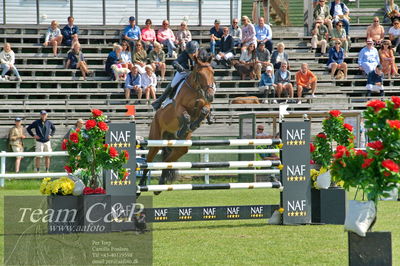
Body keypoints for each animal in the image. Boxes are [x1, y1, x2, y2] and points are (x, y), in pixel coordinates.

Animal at [140, 48, 217, 189]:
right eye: (199, 74)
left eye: (213, 73)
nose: (210, 96)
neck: (196, 90)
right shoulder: (178, 108)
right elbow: (186, 116)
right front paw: (187, 126)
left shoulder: (204, 104)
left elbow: (204, 110)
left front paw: (195, 124)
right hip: (155, 141)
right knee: (148, 162)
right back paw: (142, 183)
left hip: (181, 147)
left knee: (167, 161)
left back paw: (161, 183)